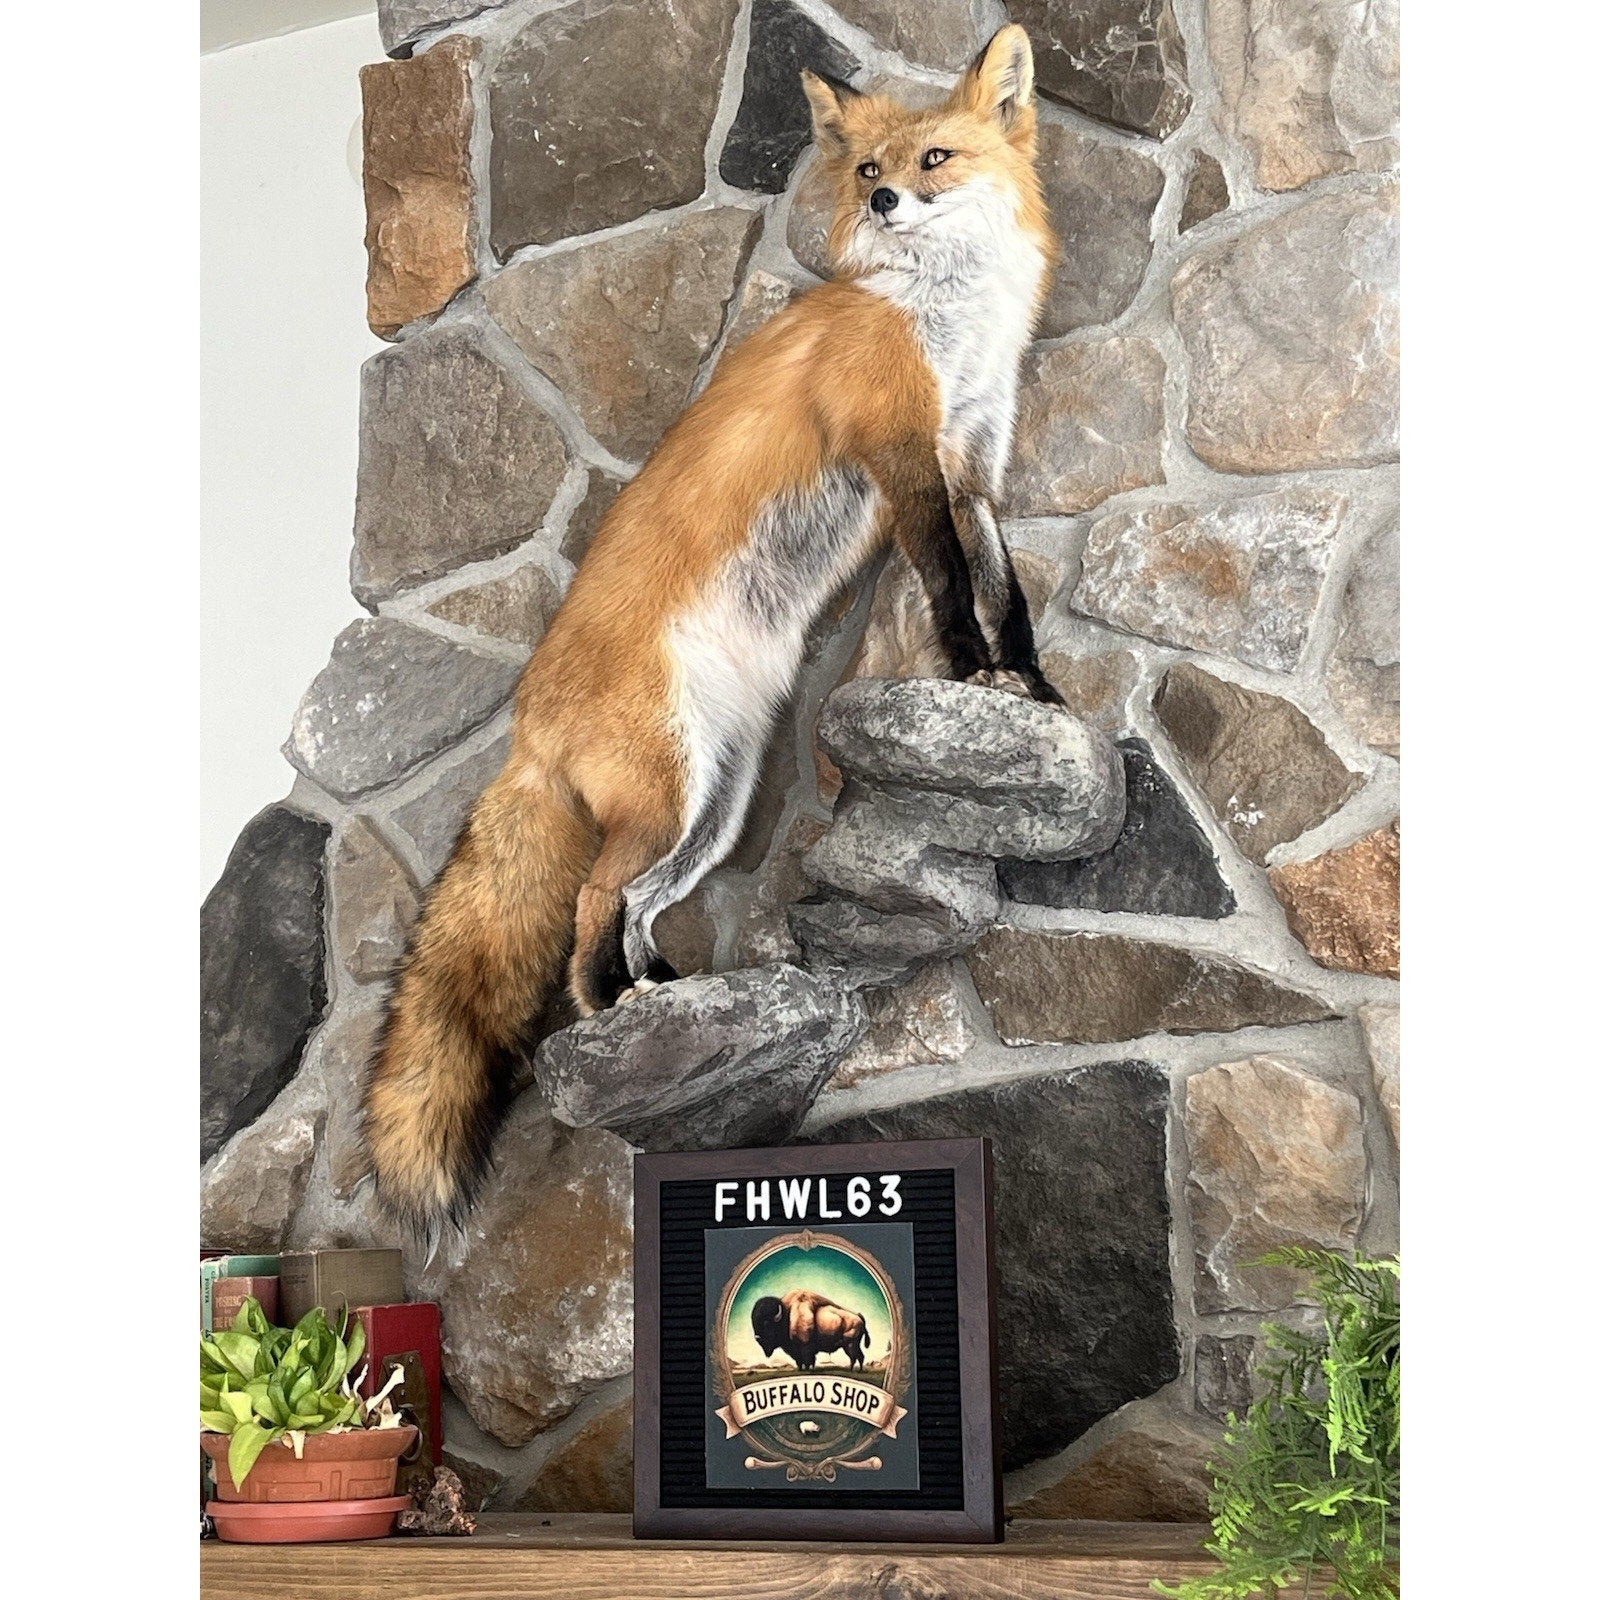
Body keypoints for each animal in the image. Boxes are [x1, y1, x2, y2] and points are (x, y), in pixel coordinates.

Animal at [364, 23, 1061, 1228]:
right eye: (868, 171)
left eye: (932, 159)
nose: (883, 203)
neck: (942, 321)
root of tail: (527, 725)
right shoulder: (903, 457)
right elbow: (945, 590)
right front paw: (973, 678)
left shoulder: (973, 459)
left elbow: (1001, 588)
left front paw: (1036, 686)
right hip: (672, 793)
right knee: (590, 902)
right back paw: (608, 1009)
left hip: (716, 809)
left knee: (636, 904)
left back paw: (657, 990)